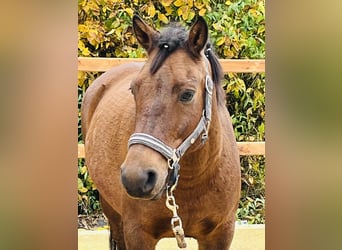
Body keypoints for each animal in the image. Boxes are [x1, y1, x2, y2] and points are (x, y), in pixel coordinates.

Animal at [81, 15, 240, 250]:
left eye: (187, 94)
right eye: (134, 90)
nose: (136, 178)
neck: (196, 179)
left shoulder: (220, 235)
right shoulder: (138, 234)